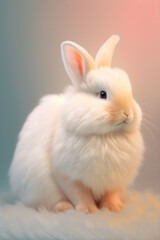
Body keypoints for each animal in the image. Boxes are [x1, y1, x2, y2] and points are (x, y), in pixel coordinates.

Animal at [8, 34, 145, 213]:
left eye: (130, 93)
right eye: (102, 94)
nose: (128, 113)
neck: (106, 135)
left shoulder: (114, 180)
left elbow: (110, 194)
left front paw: (113, 208)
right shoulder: (66, 175)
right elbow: (79, 193)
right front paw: (87, 210)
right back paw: (63, 207)